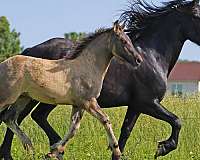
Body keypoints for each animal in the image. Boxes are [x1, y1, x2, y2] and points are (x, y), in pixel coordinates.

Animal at [0, 0, 200, 159]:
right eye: (197, 16)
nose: (138, 60)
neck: (152, 57)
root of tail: (29, 50)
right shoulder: (148, 102)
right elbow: (176, 121)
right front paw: (162, 148)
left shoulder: (136, 106)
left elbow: (126, 131)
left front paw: (118, 153)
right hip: (35, 97)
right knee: (21, 117)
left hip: (36, 97)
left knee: (25, 117)